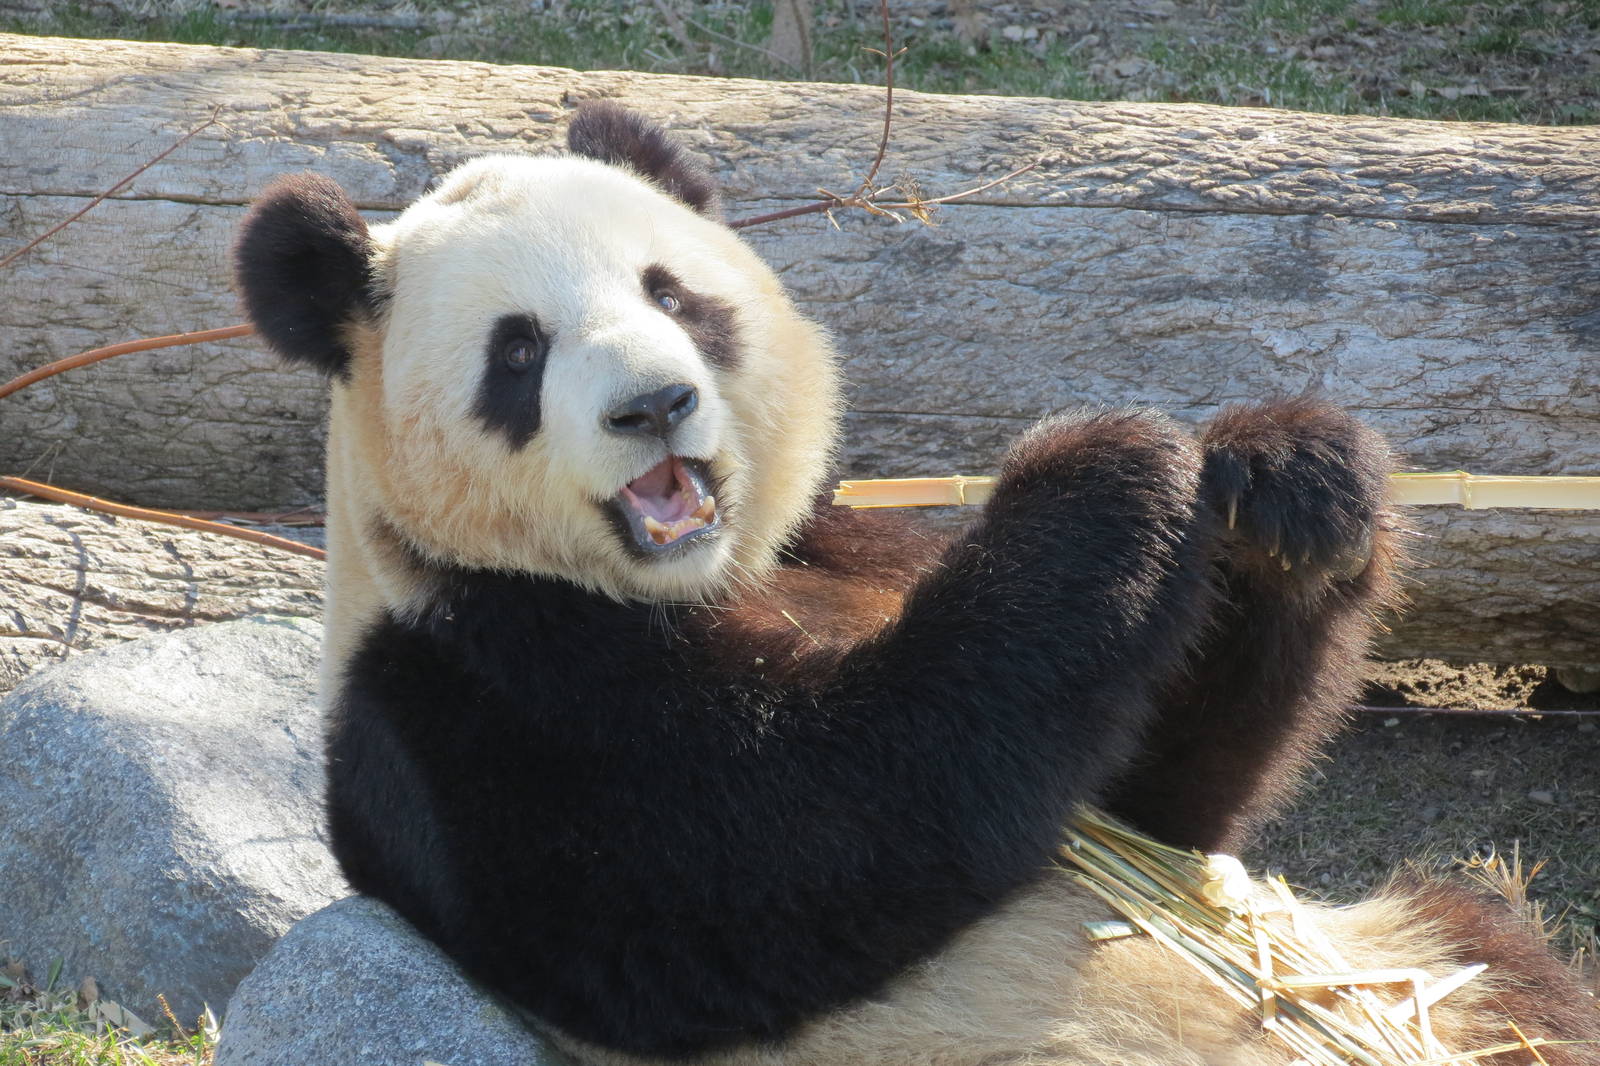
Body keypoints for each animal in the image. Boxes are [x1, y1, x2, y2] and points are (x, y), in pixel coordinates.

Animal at [234, 103, 1600, 1066]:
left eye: (671, 294)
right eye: (518, 352)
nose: (653, 405)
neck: (697, 582)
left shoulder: (840, 549)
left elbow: (1163, 803)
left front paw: (1286, 482)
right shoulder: (474, 695)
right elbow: (829, 819)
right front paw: (1108, 467)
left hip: (1420, 965)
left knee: (1504, 961)